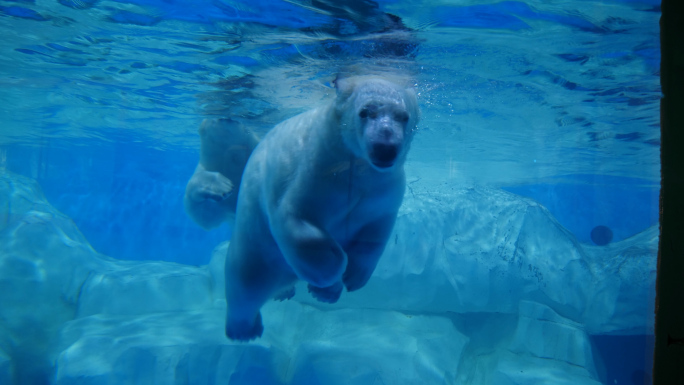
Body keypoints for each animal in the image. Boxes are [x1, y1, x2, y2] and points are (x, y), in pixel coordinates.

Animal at [190, 75, 420, 340]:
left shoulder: (383, 188)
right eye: (364, 112)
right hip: (255, 246)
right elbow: (295, 219)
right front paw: (335, 270)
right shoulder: (316, 171)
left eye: (404, 116)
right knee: (245, 283)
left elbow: (375, 230)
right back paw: (245, 329)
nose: (385, 147)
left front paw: (352, 277)